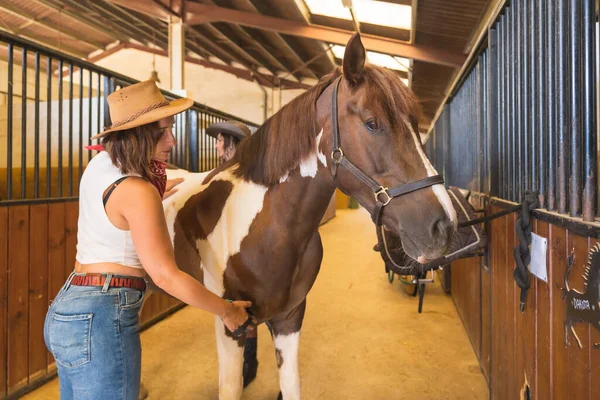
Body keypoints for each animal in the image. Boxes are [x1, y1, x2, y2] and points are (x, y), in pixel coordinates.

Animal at [158, 34, 454, 400]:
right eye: (373, 123)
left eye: (415, 126)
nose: (443, 226)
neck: (268, 228)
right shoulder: (230, 324)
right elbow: (231, 387)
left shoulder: (290, 317)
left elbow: (291, 385)